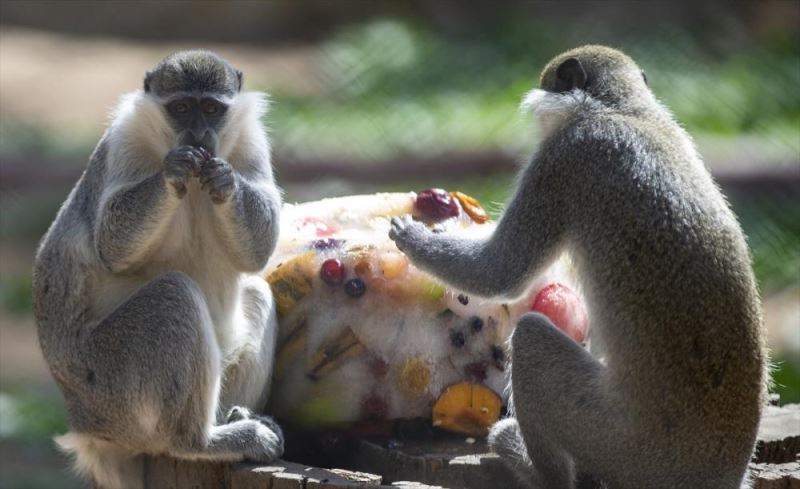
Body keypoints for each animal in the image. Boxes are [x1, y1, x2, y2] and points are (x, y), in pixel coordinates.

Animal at [33, 50, 284, 488]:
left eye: (211, 109)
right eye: (181, 108)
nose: (198, 135)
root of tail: (88, 425)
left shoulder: (250, 138)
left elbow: (258, 251)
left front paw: (226, 179)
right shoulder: (125, 137)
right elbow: (110, 244)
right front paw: (174, 170)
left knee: (256, 290)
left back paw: (234, 417)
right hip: (111, 378)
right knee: (174, 294)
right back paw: (204, 441)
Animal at [392, 43, 768, 486]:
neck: (624, 109)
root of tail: (720, 474)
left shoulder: (564, 157)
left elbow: (501, 270)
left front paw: (412, 239)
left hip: (616, 442)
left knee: (531, 339)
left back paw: (539, 473)